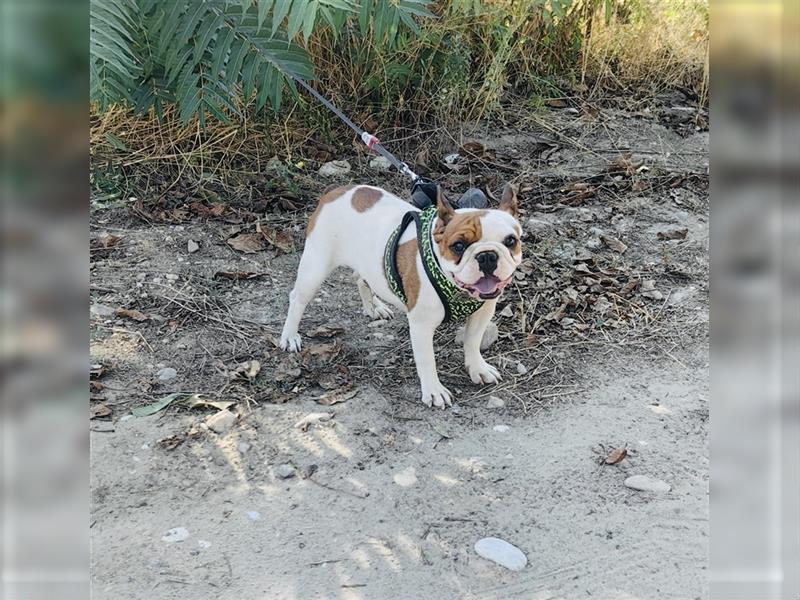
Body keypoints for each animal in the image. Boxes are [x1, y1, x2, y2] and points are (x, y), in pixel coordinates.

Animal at [278, 183, 520, 408]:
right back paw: (289, 335)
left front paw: (477, 368)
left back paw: (375, 307)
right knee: (297, 299)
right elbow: (427, 360)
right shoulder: (421, 326)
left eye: (511, 241)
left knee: (360, 277)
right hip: (315, 268)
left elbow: (472, 341)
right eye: (458, 246)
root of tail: (335, 192)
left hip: (367, 264)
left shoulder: (483, 312)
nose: (487, 256)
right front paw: (433, 390)